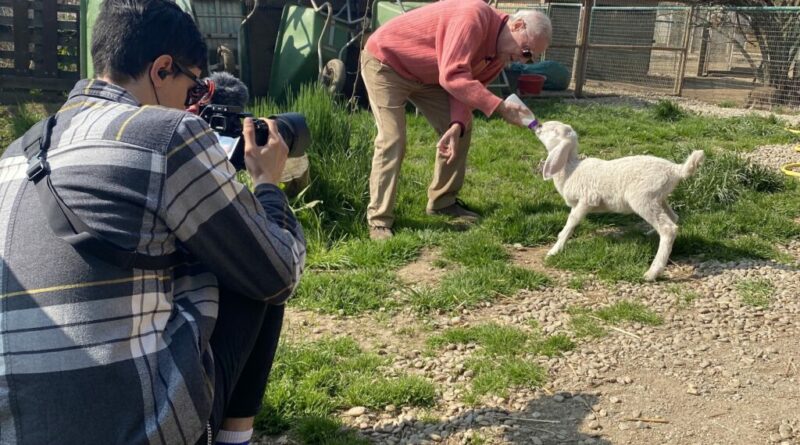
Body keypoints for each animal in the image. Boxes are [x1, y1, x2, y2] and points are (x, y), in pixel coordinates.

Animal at [536, 120, 704, 280]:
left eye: (555, 131)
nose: (538, 127)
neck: (570, 168)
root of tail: (675, 170)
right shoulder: (577, 203)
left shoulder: (586, 200)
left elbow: (571, 223)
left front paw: (554, 250)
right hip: (659, 198)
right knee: (673, 217)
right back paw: (651, 234)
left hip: (643, 198)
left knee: (669, 229)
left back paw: (652, 273)